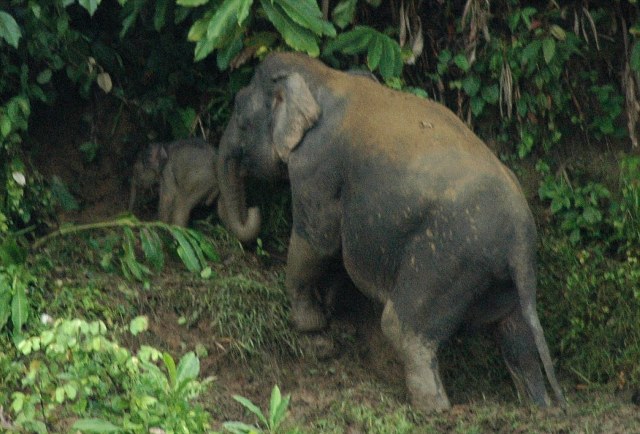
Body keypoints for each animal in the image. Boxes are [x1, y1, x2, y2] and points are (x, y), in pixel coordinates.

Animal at [216, 51, 564, 414]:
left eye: (240, 115)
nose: (251, 210)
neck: (325, 76)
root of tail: (520, 244)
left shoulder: (316, 169)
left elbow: (317, 242)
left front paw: (308, 323)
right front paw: (328, 309)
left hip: (448, 262)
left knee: (402, 328)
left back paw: (434, 409)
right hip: (501, 278)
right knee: (516, 335)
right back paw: (539, 408)